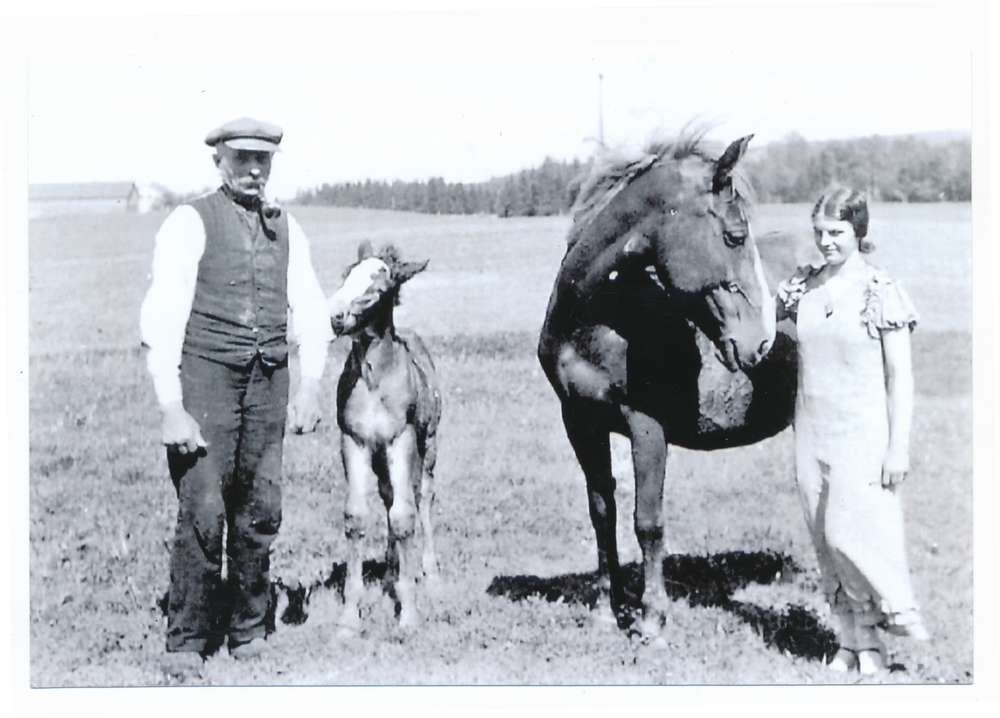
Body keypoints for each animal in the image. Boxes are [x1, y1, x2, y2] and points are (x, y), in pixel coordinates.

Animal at [328, 242, 442, 632]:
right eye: (345, 275)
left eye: (380, 286)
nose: (336, 317)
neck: (374, 381)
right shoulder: (355, 441)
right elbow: (356, 516)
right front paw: (350, 616)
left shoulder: (401, 439)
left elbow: (405, 517)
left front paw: (408, 613)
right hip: (380, 460)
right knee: (390, 497)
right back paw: (393, 573)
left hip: (427, 447)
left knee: (423, 498)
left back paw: (429, 573)